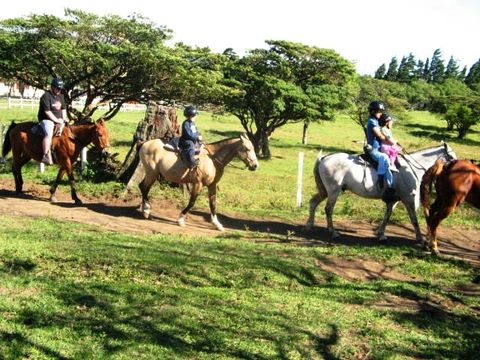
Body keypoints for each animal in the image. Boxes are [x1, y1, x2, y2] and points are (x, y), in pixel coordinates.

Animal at [306, 143, 456, 245]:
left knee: (313, 202)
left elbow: (387, 216)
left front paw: (381, 234)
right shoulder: (408, 199)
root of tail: (324, 158)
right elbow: (414, 219)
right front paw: (420, 239)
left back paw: (310, 225)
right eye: (452, 157)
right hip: (333, 191)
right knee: (328, 209)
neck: (410, 168)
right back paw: (333, 232)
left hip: (325, 191)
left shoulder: (393, 200)